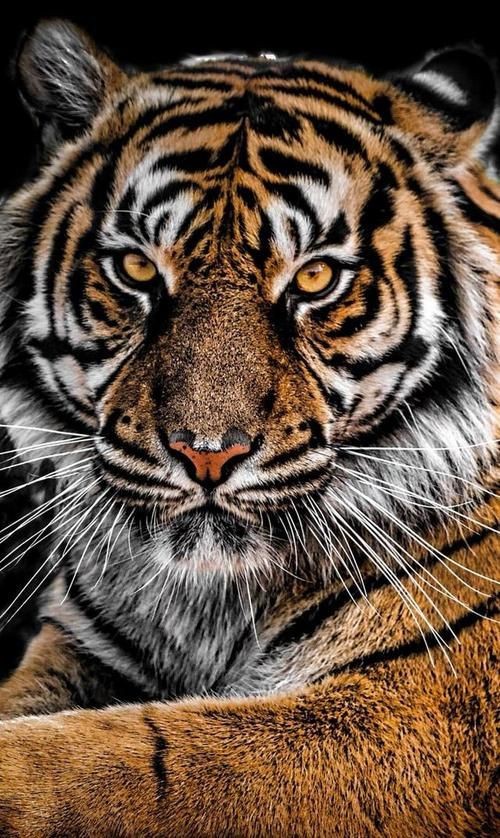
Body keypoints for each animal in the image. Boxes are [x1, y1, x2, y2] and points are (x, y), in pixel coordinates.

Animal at [0, 17, 498, 837]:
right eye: (138, 270)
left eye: (316, 277)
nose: (207, 455)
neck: (207, 606)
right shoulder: (81, 647)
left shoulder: (415, 712)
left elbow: (129, 763)